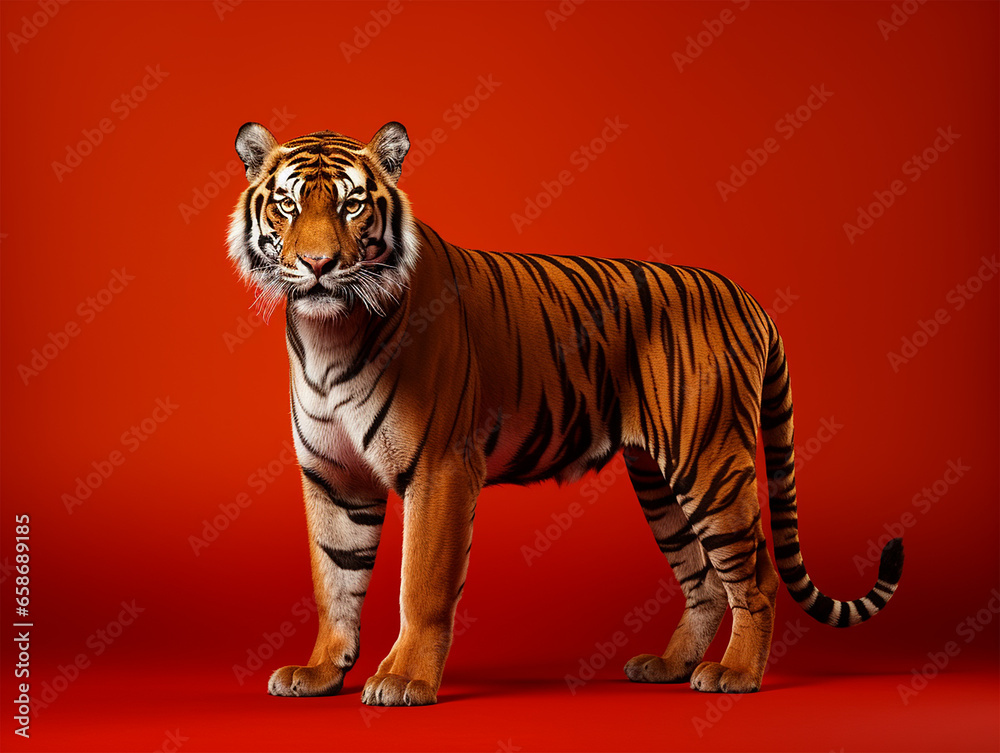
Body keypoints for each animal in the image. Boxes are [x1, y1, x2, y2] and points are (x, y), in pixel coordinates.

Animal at [227, 120, 904, 707]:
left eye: (350, 206)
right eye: (287, 206)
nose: (318, 265)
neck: (328, 334)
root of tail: (746, 296)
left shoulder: (439, 469)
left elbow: (421, 585)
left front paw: (405, 679)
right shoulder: (333, 477)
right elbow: (335, 579)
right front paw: (319, 671)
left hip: (708, 461)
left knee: (755, 575)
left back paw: (735, 674)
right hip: (658, 482)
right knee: (706, 579)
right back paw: (669, 666)